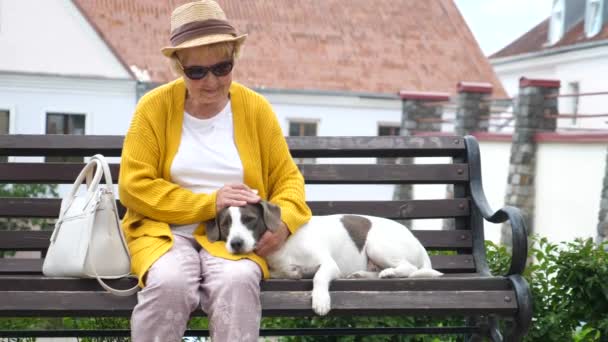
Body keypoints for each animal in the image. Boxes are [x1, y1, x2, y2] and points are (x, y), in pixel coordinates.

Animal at [205, 200, 442, 316]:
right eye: (225, 224)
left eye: (249, 219)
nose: (235, 243)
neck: (283, 246)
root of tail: (417, 241)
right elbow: (287, 272)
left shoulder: (329, 265)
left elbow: (318, 277)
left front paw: (320, 300)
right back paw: (362, 274)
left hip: (378, 245)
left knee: (409, 268)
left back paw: (390, 272)